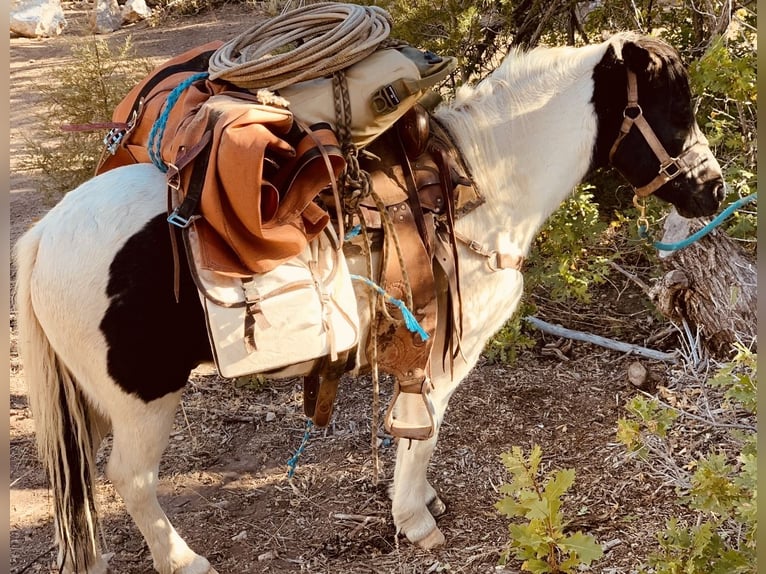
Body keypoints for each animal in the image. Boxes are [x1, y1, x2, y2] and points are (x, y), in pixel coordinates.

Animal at [13, 31, 725, 574]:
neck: (479, 189)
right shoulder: (445, 353)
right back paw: (185, 561)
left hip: (95, 399)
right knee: (131, 480)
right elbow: (423, 428)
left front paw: (423, 502)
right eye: (673, 108)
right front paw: (414, 518)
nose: (713, 191)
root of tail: (45, 235)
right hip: (144, 401)